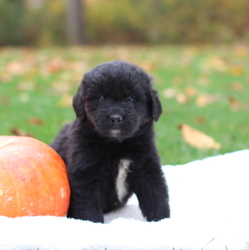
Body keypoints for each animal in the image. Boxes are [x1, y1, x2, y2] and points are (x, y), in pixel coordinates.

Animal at [51, 60, 170, 223]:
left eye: (131, 98)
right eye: (100, 98)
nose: (115, 118)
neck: (118, 146)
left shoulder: (148, 168)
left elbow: (156, 195)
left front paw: (162, 220)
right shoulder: (85, 173)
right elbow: (88, 206)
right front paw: (92, 223)